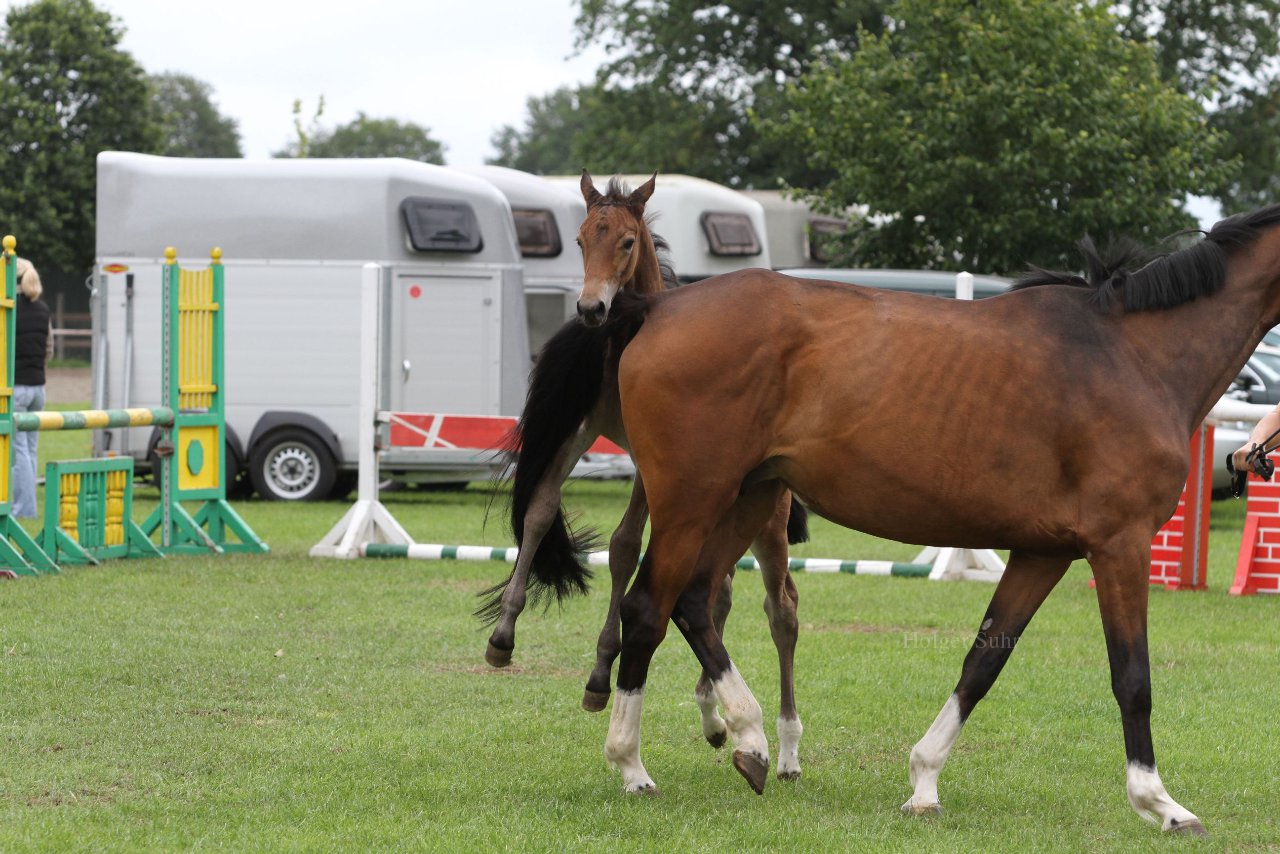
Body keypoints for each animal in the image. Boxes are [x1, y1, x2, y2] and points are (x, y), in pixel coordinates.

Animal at [481, 171, 808, 783]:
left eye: (628, 242)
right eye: (581, 239)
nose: (590, 308)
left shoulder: (647, 461)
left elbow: (624, 546)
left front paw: (599, 674)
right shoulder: (584, 429)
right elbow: (540, 512)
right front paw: (502, 636)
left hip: (760, 525)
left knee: (777, 610)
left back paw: (776, 745)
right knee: (718, 592)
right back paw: (715, 716)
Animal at [532, 203, 1280, 829]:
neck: (1134, 354)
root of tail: (658, 306)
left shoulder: (1044, 552)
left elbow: (984, 661)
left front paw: (924, 781)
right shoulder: (1119, 547)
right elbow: (1133, 678)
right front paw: (1160, 802)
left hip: (746, 499)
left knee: (689, 603)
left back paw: (749, 741)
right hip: (692, 501)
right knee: (646, 610)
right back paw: (635, 765)